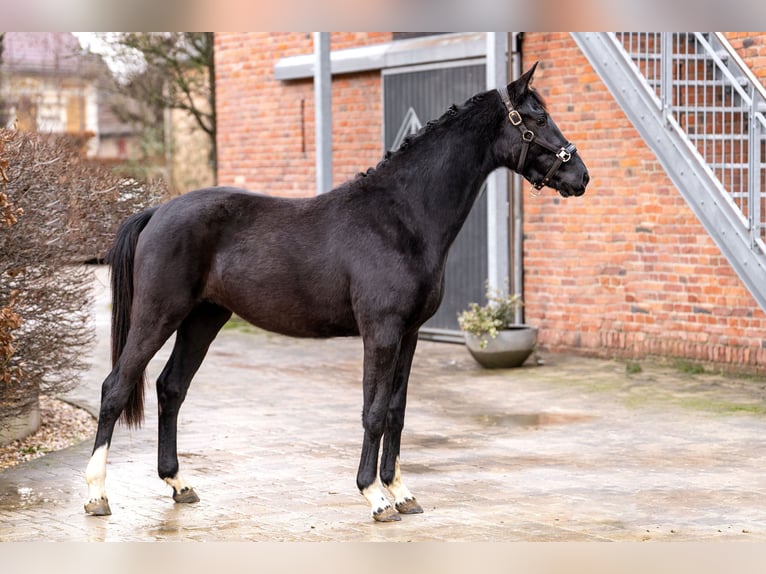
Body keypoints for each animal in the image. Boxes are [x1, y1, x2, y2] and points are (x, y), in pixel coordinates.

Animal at [84, 63, 592, 520]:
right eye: (537, 119)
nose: (581, 176)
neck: (401, 216)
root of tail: (157, 211)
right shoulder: (381, 332)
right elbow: (373, 411)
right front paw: (375, 496)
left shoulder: (409, 335)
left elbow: (395, 411)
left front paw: (402, 492)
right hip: (158, 314)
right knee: (116, 387)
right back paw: (96, 496)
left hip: (203, 318)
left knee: (171, 388)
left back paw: (179, 483)